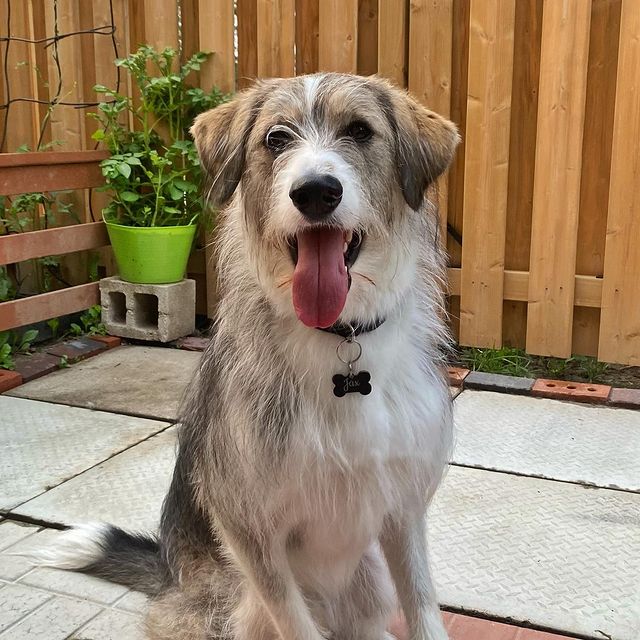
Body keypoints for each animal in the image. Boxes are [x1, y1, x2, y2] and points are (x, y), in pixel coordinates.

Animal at [41, 72, 460, 636]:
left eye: (359, 130)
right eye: (276, 139)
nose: (315, 191)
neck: (337, 338)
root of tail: (169, 574)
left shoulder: (403, 509)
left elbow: (422, 606)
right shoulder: (249, 530)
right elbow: (294, 620)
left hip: (368, 586)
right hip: (237, 607)